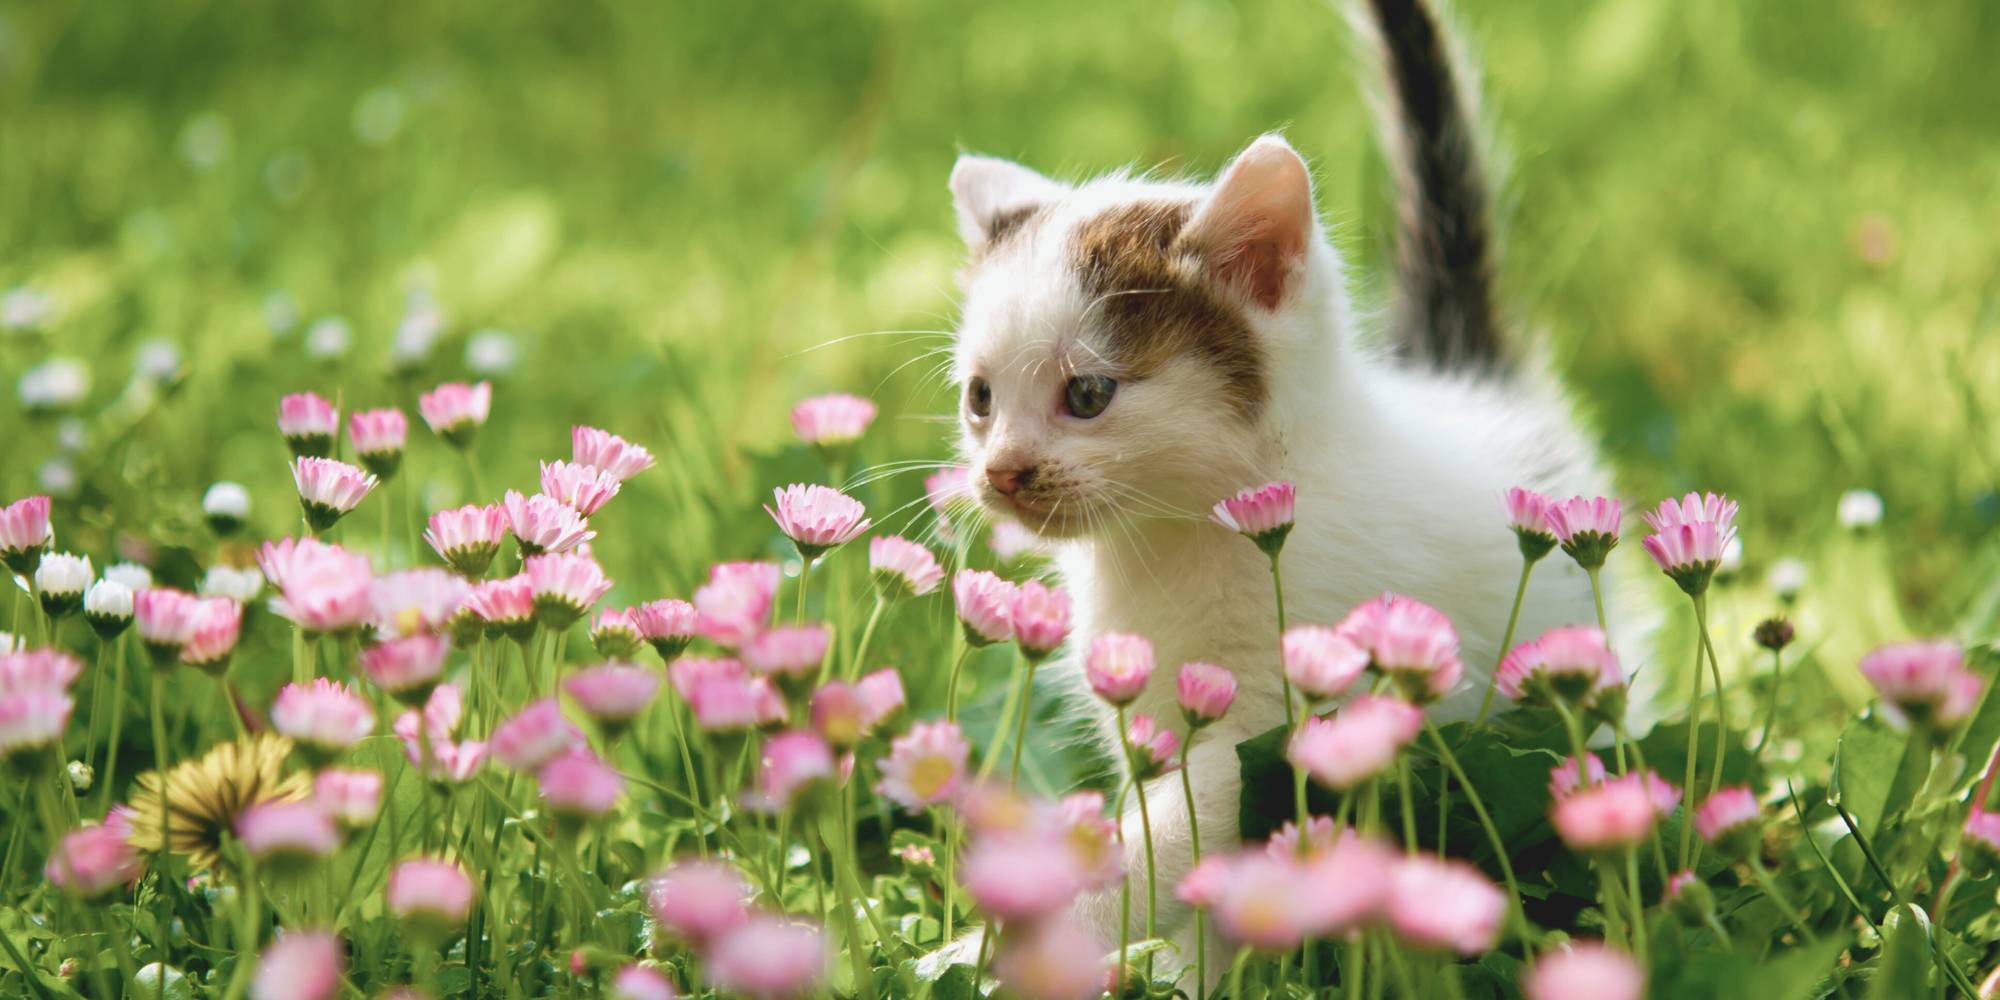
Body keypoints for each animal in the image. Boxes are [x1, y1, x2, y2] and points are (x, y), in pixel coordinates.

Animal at [944, 0, 1632, 972]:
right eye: (980, 397)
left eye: (1086, 395)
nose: (1000, 471)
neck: (1174, 540)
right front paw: (1179, 969)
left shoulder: (1287, 714)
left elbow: (1166, 839)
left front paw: (995, 948)